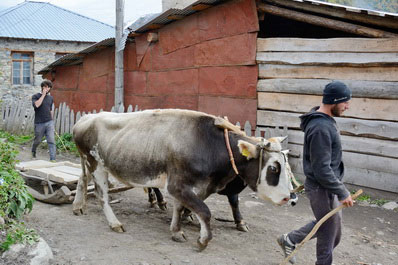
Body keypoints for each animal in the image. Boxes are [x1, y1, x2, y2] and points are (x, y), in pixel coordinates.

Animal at [72, 108, 292, 249]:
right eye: (273, 167)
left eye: (286, 165)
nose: (288, 198)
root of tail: (86, 118)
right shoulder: (177, 185)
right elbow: (205, 211)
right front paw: (203, 240)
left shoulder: (193, 187)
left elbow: (181, 208)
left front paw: (176, 231)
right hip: (95, 163)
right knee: (101, 194)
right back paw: (114, 222)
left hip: (88, 162)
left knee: (82, 179)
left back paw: (78, 206)